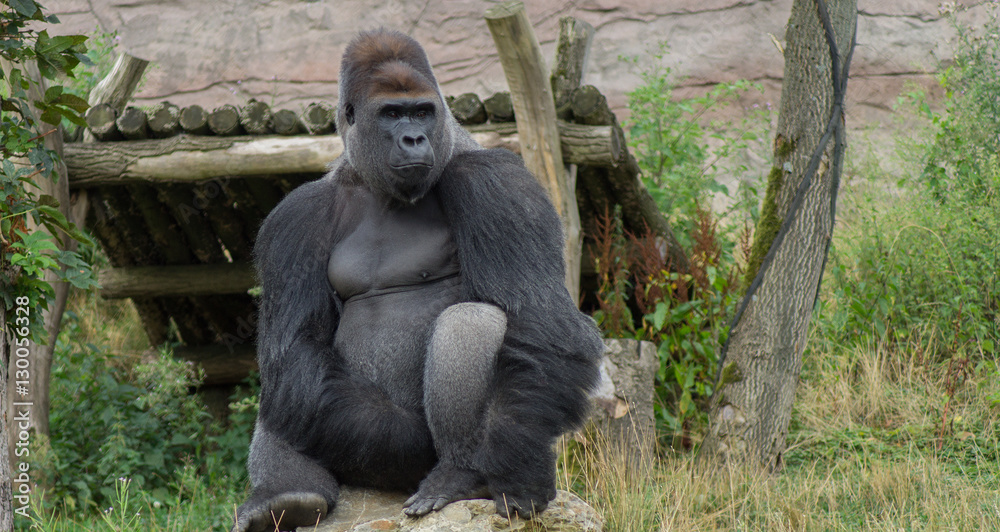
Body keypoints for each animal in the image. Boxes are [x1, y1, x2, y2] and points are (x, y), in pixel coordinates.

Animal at [231, 29, 603, 532]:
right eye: (392, 114)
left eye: (423, 111)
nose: (413, 137)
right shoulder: (296, 218)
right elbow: (296, 347)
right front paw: (397, 439)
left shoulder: (497, 182)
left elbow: (543, 323)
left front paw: (520, 465)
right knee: (291, 386)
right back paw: (288, 497)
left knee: (473, 320)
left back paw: (460, 474)